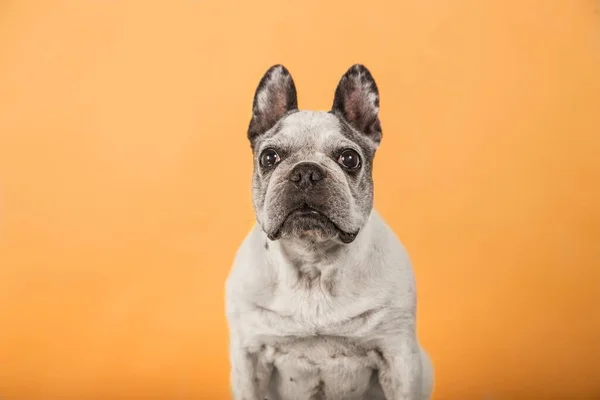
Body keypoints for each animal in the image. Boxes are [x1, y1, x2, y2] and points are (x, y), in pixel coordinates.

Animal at [225, 64, 432, 398]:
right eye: (269, 157)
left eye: (349, 158)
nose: (306, 172)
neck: (314, 266)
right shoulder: (249, 357)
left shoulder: (399, 356)